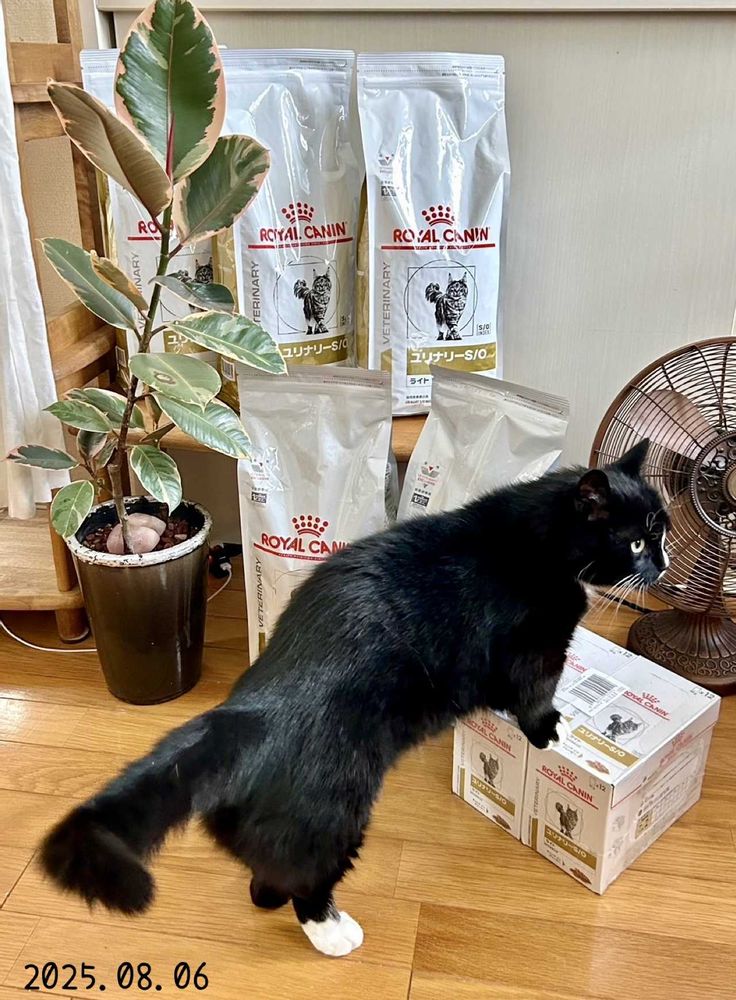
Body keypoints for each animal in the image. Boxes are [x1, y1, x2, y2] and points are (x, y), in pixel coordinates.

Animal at [40, 440, 667, 958]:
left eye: (661, 533)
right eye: (637, 541)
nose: (661, 567)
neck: (538, 539)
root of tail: (248, 715)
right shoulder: (537, 644)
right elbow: (536, 691)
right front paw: (547, 729)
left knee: (265, 871)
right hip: (334, 808)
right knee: (304, 872)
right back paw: (333, 931)